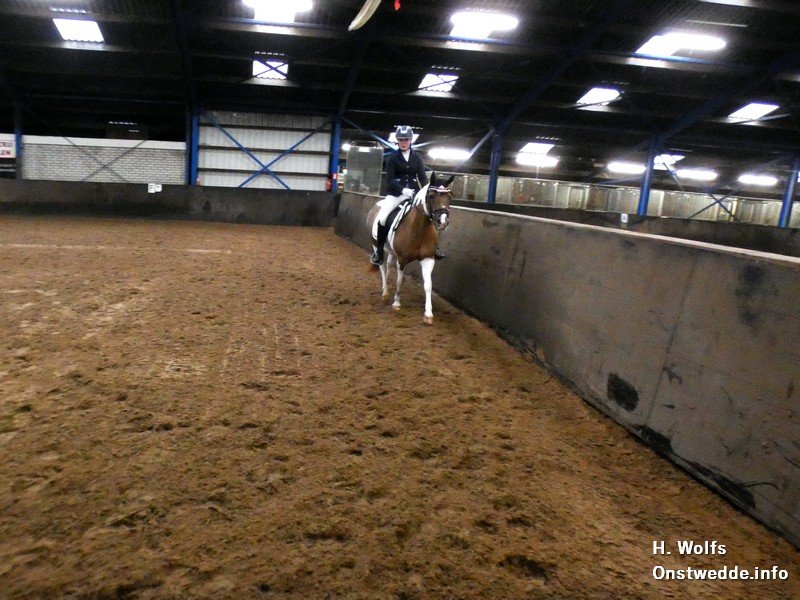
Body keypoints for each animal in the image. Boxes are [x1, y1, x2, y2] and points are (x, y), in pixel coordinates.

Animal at [367, 172, 455, 325]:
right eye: (431, 196)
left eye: (449, 197)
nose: (442, 222)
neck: (420, 228)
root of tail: (377, 205)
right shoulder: (402, 260)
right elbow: (400, 280)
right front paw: (396, 303)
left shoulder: (428, 259)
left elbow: (428, 284)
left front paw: (428, 314)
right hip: (376, 246)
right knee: (382, 267)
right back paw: (385, 293)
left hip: (391, 251)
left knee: (388, 266)